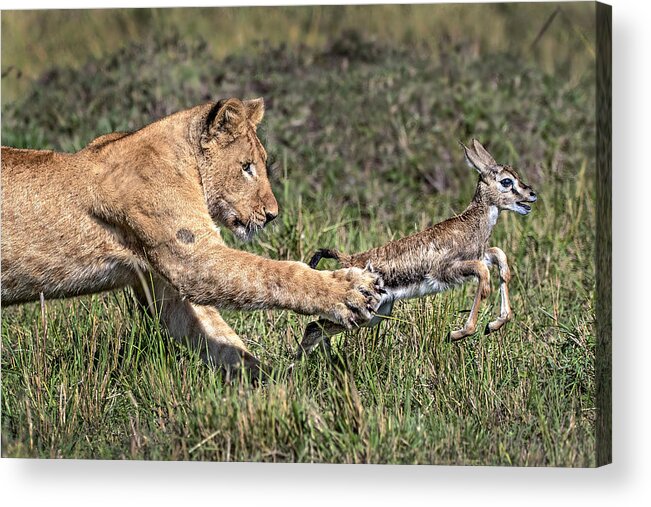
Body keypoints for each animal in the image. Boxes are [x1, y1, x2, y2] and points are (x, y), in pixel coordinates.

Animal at [1, 98, 382, 380]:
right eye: (246, 167)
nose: (273, 214)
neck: (184, 160)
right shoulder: (193, 259)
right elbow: (273, 273)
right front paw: (348, 291)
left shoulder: (163, 283)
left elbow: (218, 336)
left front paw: (269, 387)